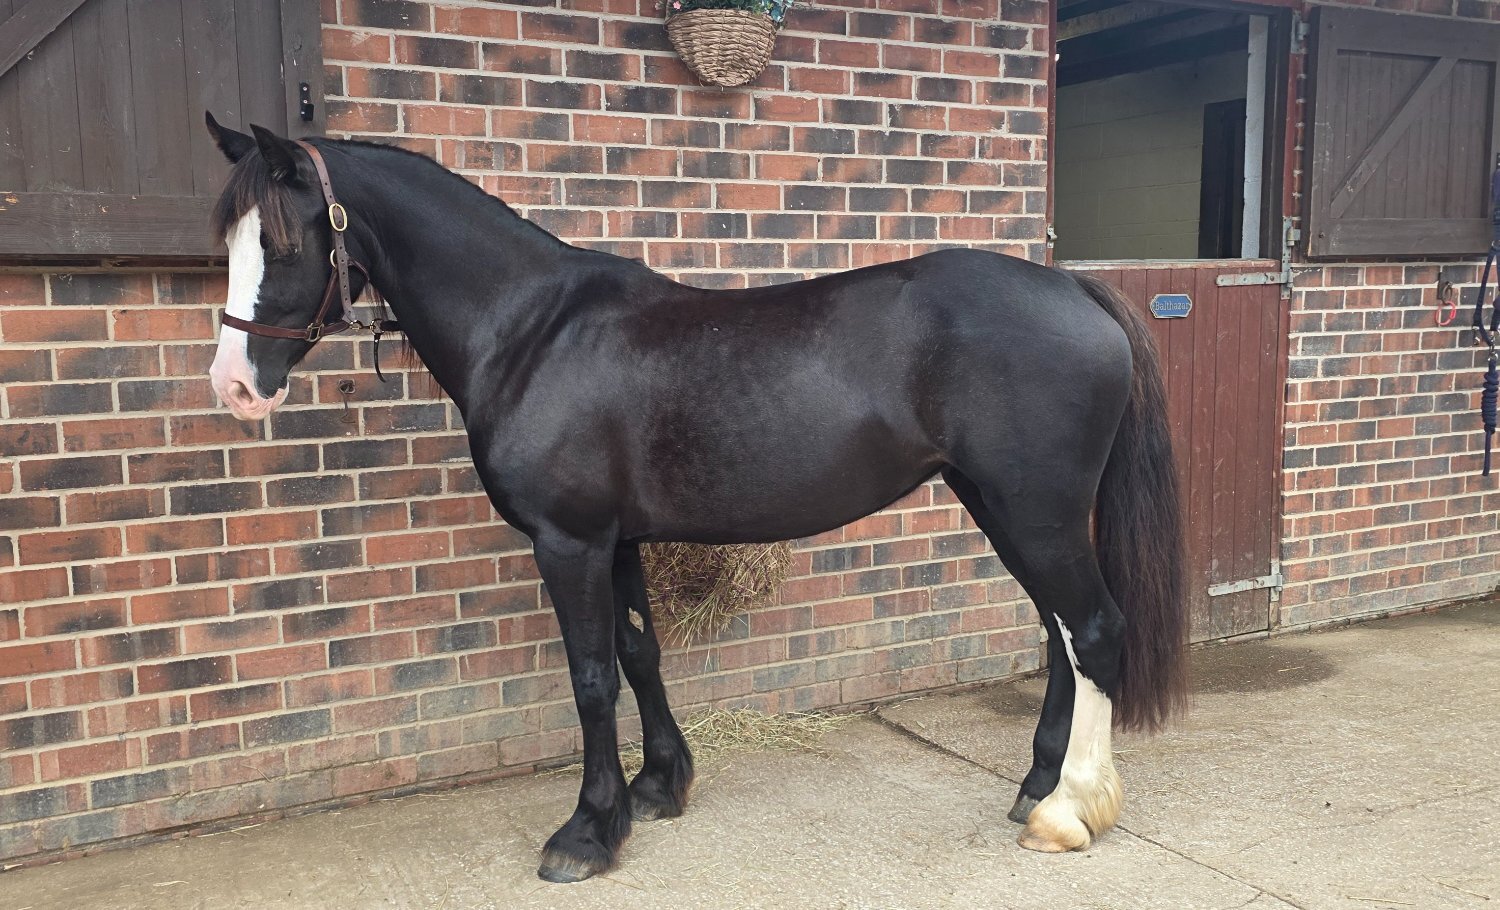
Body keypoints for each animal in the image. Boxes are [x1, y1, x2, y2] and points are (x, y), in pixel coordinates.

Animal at [202, 114, 1186, 883]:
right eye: (229, 245)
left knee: (1094, 630)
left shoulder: (568, 542)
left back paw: (1067, 813)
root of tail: (1072, 286)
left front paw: (586, 832)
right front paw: (657, 787)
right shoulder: (616, 540)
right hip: (997, 503)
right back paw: (1036, 787)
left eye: (283, 242)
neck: (531, 330)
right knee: (1060, 636)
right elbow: (640, 655)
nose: (235, 386)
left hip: (1035, 509)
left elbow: (592, 677)